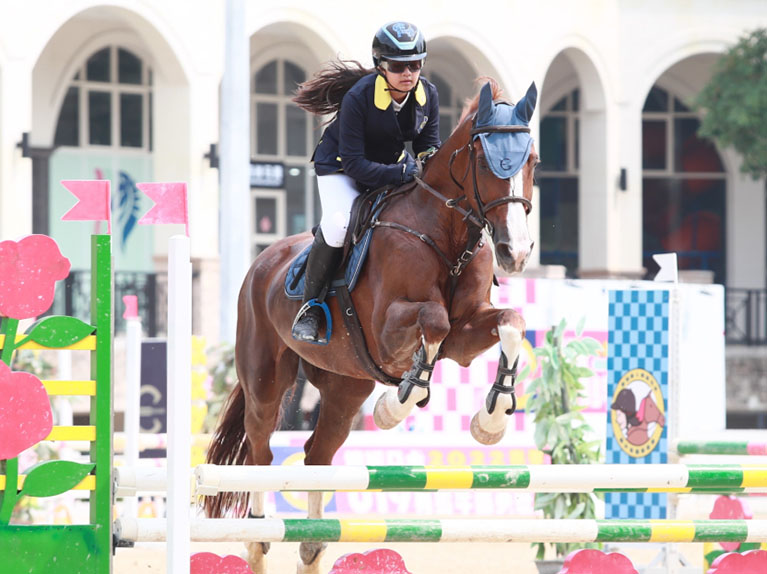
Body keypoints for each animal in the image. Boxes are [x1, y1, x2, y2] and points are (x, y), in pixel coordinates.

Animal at [206, 77, 540, 574]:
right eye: (484, 161)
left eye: (532, 160)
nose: (514, 252)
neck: (445, 233)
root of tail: (263, 261)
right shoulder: (388, 331)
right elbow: (433, 321)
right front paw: (396, 405)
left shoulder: (464, 338)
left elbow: (510, 321)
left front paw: (492, 417)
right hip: (266, 380)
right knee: (261, 451)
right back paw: (259, 539)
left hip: (345, 387)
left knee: (317, 455)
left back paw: (312, 546)